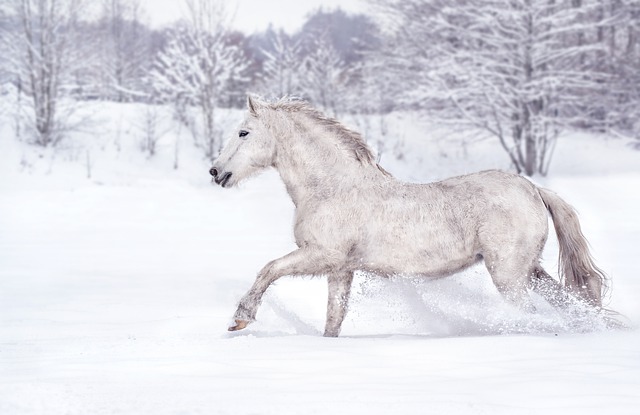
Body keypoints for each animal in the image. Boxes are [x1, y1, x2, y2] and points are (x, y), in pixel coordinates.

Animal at [211, 96, 608, 338]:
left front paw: (240, 318)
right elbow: (334, 318)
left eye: (244, 132)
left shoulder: (321, 255)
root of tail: (533, 189)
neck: (332, 187)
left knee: (530, 314)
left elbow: (269, 269)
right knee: (568, 302)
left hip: (509, 275)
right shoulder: (340, 270)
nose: (216, 172)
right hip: (530, 271)